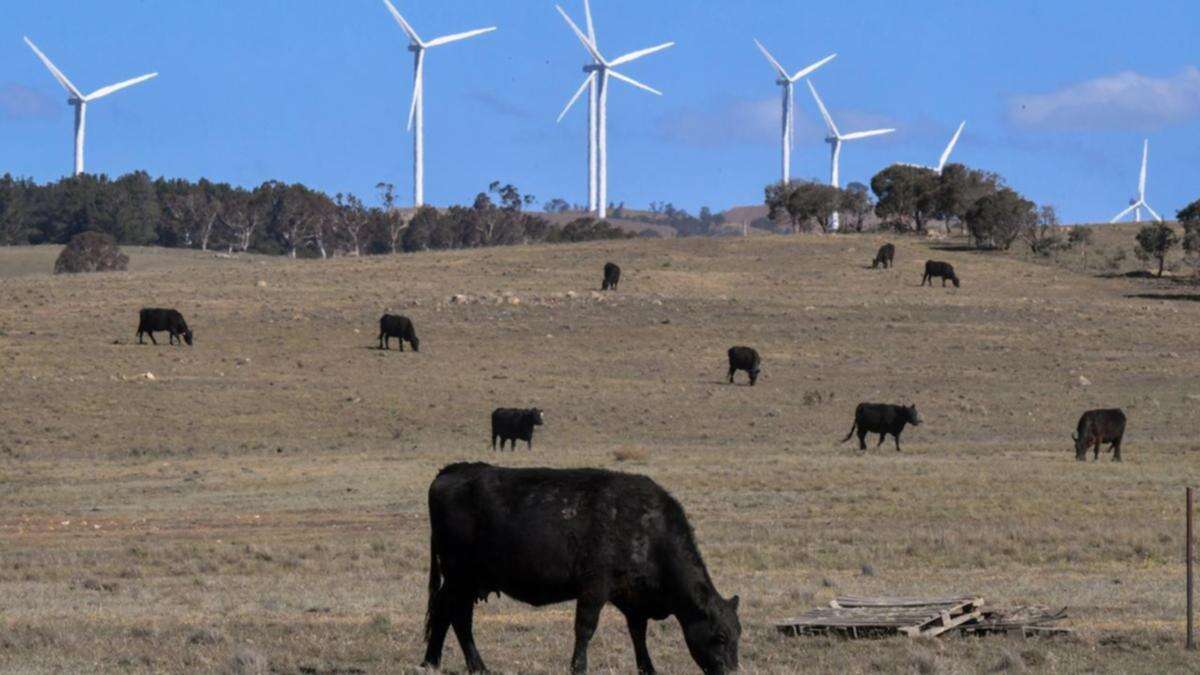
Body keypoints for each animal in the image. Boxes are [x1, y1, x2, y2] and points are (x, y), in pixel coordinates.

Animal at [422, 458, 739, 672]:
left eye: (738, 634)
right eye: (721, 636)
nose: (732, 670)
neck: (648, 529)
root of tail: (453, 470)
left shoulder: (634, 600)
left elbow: (638, 634)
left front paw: (648, 668)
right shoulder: (594, 588)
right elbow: (585, 629)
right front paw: (578, 666)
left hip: (462, 580)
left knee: (442, 611)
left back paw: (431, 661)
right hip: (460, 577)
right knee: (458, 616)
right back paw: (477, 666)